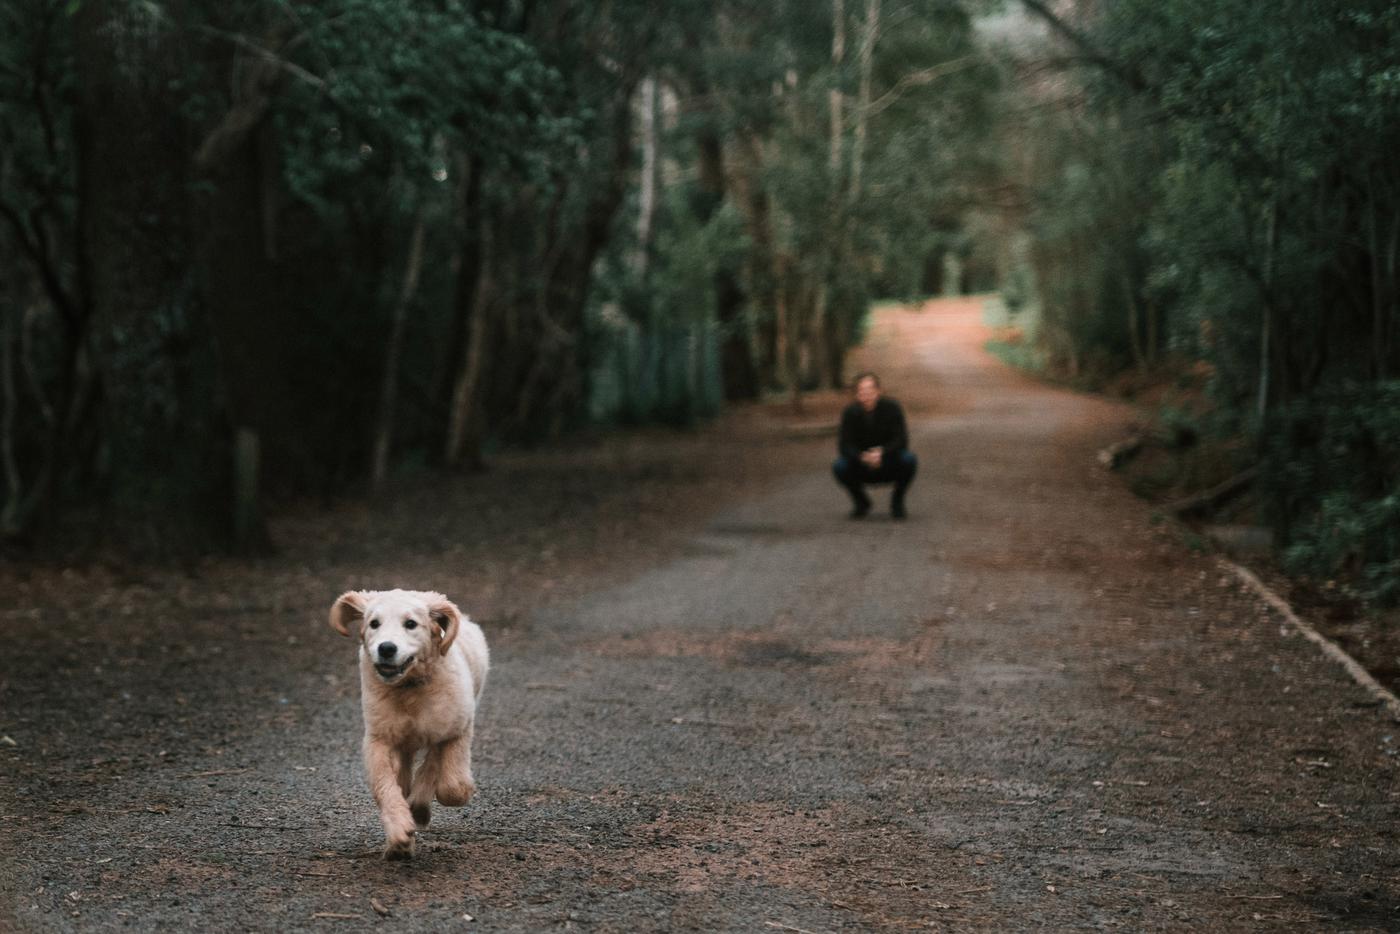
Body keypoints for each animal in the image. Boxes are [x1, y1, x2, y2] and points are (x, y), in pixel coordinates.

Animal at [330, 590, 490, 862]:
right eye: (374, 623)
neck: (408, 690)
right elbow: (385, 784)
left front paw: (423, 807)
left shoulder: (455, 727)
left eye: (411, 624)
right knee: (403, 777)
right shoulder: (379, 738)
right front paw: (399, 833)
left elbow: (450, 785)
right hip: (402, 742)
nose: (386, 648)